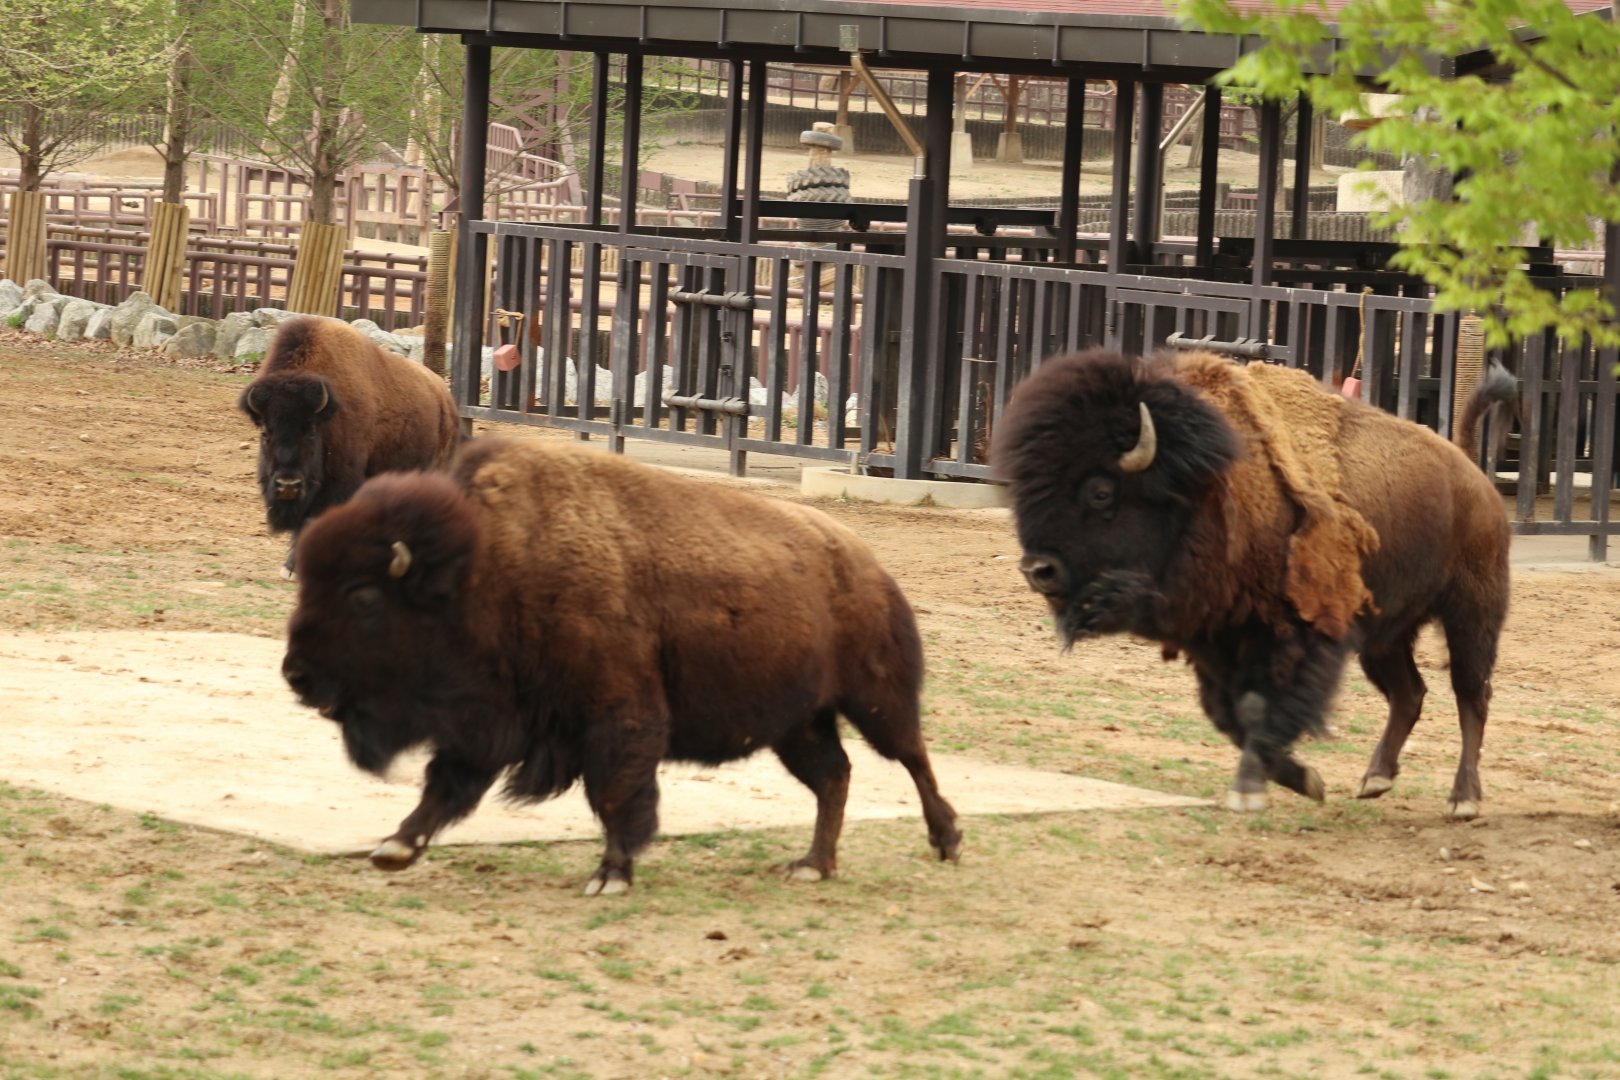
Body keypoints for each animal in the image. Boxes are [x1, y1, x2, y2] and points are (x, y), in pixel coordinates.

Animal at [238, 316, 459, 577]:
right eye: (265, 432)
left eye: (311, 431)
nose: (288, 485)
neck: (327, 417)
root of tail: (445, 399)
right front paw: (291, 568)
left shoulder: (340, 482)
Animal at [279, 438, 962, 894]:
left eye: (363, 597)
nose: (297, 674)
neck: (484, 568)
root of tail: (867, 565)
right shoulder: (486, 723)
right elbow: (444, 786)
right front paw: (394, 848)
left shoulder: (616, 716)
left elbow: (614, 792)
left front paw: (611, 874)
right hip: (797, 724)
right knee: (834, 776)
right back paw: (812, 865)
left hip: (874, 700)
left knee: (912, 757)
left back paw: (945, 841)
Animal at [994, 348, 1515, 818]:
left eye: (1101, 492)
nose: (1038, 569)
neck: (1203, 491)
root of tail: (1471, 471)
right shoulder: (1214, 643)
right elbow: (1228, 714)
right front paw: (1304, 779)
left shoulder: (1291, 636)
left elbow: (1258, 709)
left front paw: (1250, 790)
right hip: (1386, 634)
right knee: (1409, 694)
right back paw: (1375, 780)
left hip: (1472, 615)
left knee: (1471, 696)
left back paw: (1463, 799)